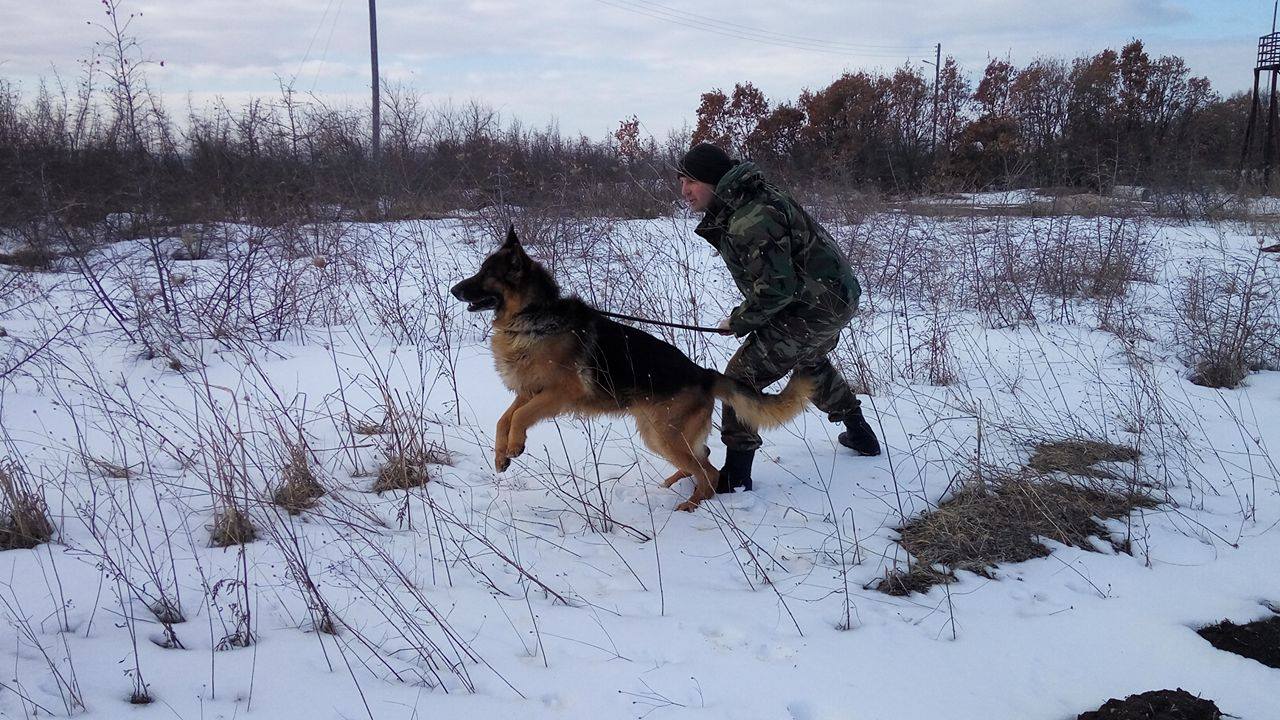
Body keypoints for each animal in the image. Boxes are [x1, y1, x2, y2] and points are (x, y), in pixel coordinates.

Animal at [450, 226, 808, 507]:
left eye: (486, 275)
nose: (454, 290)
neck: (532, 316)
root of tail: (704, 374)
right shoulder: (531, 391)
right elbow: (504, 418)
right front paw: (501, 455)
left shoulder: (558, 393)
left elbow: (520, 417)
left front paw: (514, 445)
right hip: (657, 433)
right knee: (703, 457)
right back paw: (679, 486)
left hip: (665, 435)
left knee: (709, 471)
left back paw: (691, 505)